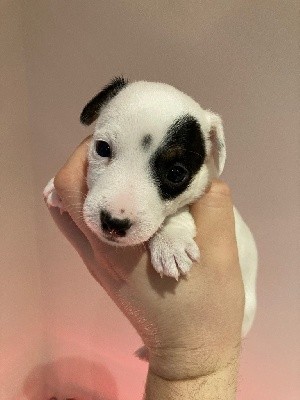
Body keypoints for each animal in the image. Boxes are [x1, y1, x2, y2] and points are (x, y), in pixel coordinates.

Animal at [44, 77, 258, 334]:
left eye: (176, 173)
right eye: (102, 148)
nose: (114, 223)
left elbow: (180, 211)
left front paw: (171, 244)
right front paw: (55, 189)